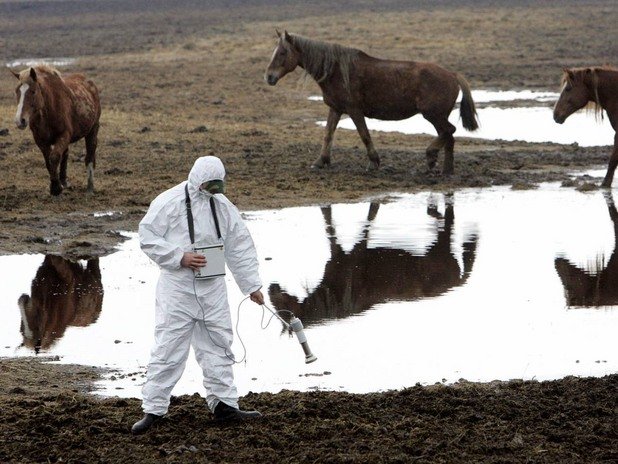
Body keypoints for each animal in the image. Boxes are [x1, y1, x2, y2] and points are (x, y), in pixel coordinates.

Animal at [10, 64, 100, 195]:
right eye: (17, 91)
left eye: (33, 91)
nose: (19, 120)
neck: (49, 109)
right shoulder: (40, 140)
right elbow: (49, 161)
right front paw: (56, 185)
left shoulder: (64, 135)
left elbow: (54, 157)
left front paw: (56, 188)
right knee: (66, 153)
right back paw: (64, 181)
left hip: (93, 130)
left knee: (90, 156)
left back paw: (90, 188)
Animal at [264, 30, 476, 175]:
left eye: (282, 53)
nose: (269, 77)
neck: (336, 71)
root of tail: (453, 75)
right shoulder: (336, 109)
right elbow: (328, 135)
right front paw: (320, 161)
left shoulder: (354, 111)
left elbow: (364, 135)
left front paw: (374, 162)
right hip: (437, 117)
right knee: (449, 137)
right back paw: (446, 170)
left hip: (433, 115)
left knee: (449, 132)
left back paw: (431, 157)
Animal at [266, 198, 476, 324]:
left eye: (283, 310)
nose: (271, 288)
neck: (336, 294)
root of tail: (457, 281)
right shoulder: (337, 254)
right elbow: (330, 226)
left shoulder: (354, 252)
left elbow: (365, 222)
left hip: (440, 246)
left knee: (449, 223)